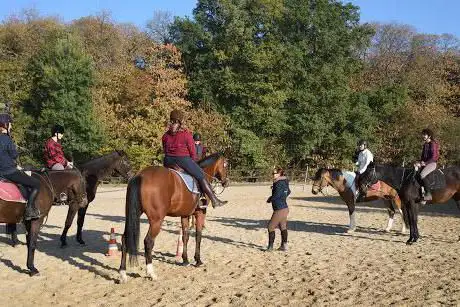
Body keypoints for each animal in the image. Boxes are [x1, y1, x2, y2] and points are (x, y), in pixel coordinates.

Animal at [117, 153, 227, 284]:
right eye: (225, 164)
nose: (226, 182)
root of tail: (140, 175)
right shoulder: (200, 213)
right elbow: (198, 236)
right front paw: (198, 260)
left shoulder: (185, 215)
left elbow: (185, 237)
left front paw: (185, 260)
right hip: (156, 221)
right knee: (148, 241)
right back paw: (151, 273)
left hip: (135, 214)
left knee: (125, 239)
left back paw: (123, 273)